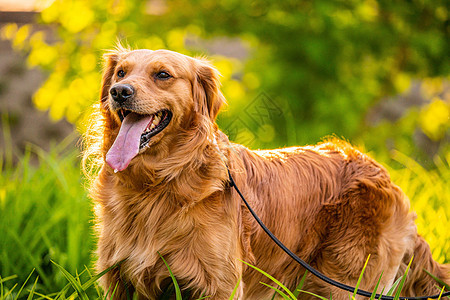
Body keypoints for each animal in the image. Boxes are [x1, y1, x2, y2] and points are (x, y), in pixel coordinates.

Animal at [83, 45, 446, 298]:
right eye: (121, 73)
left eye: (162, 75)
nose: (120, 92)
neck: (155, 184)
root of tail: (385, 176)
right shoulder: (119, 279)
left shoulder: (219, 284)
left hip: (345, 280)